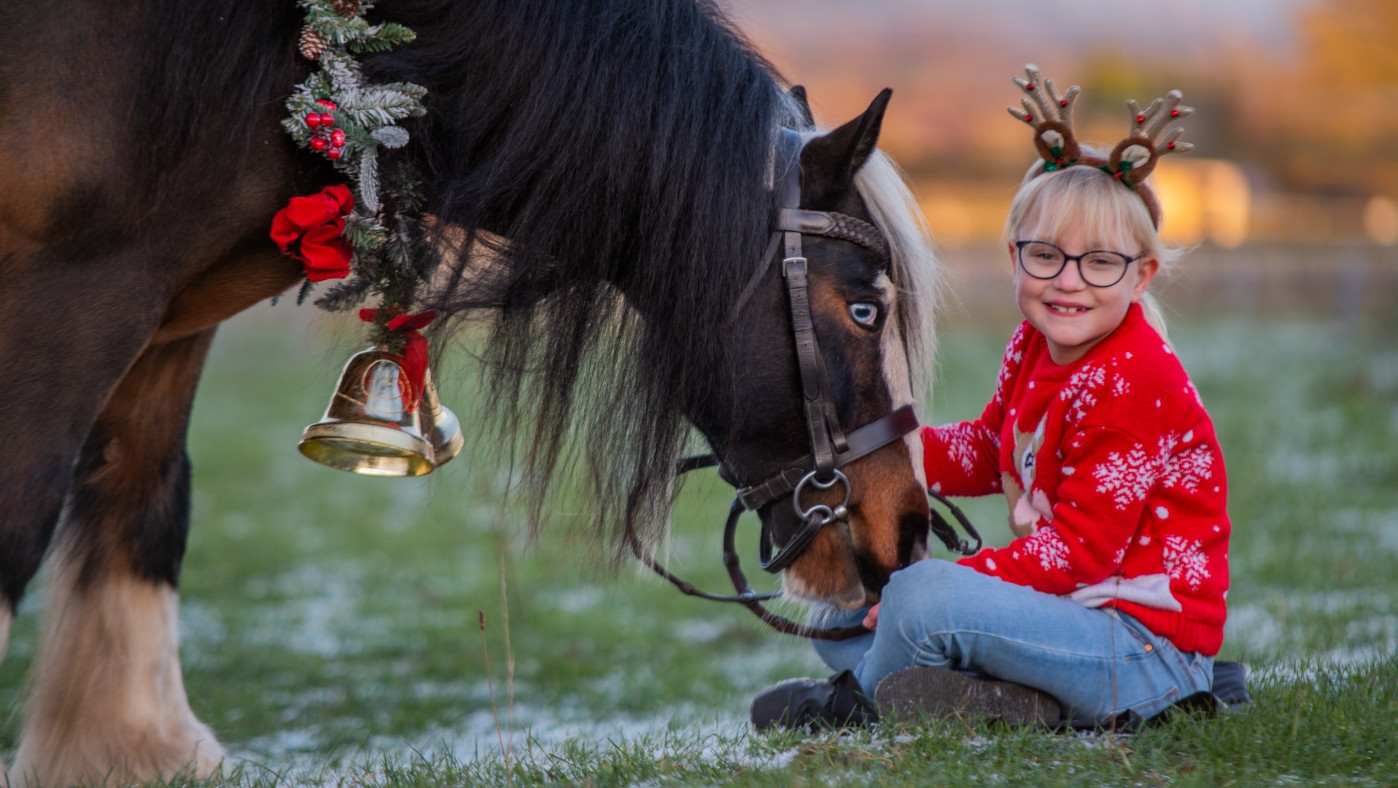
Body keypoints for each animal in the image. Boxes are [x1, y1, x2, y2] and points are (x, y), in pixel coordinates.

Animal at [0, 1, 940, 784]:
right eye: (865, 307)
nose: (909, 528)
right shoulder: (74, 293)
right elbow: (23, 520)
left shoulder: (170, 315)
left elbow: (144, 497)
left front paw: (130, 749)